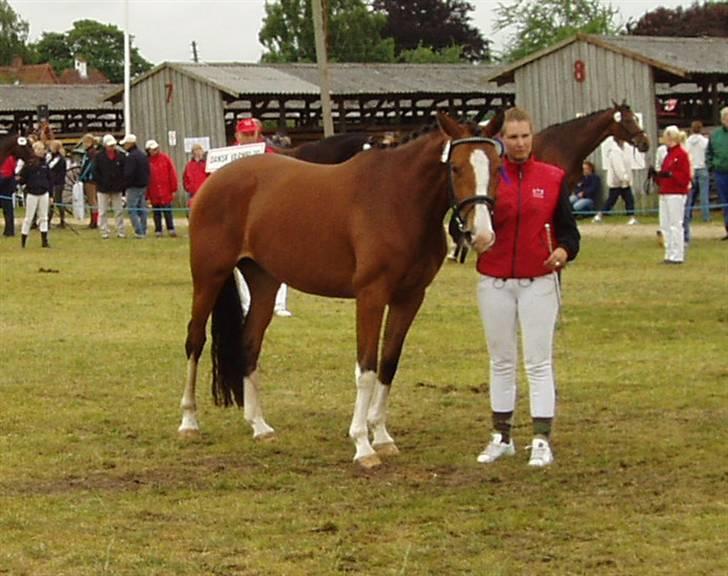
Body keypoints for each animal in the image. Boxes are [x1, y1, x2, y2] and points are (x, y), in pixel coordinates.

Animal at [178, 112, 504, 468]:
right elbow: (366, 368)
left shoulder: (410, 298)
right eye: (455, 167)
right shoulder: (371, 296)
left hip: (264, 282)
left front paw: (383, 437)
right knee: (195, 340)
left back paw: (259, 426)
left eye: (498, 166)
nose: (481, 235)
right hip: (209, 276)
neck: (399, 199)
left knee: (249, 342)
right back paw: (189, 421)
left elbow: (388, 363)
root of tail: (215, 180)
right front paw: (363, 445)